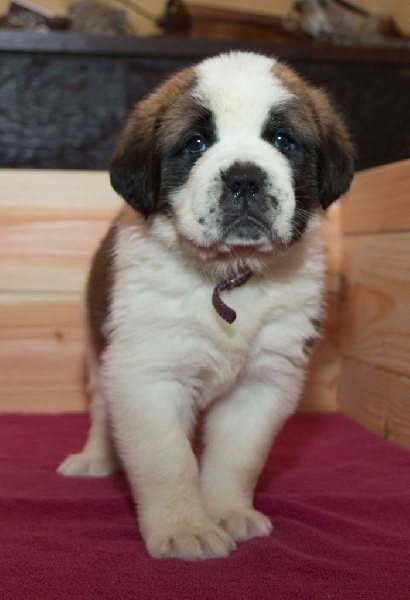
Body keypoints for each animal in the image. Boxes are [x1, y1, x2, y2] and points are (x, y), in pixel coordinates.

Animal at [58, 52, 354, 560]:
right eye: (195, 143)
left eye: (283, 140)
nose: (244, 178)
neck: (228, 278)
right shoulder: (145, 375)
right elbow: (167, 459)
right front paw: (184, 528)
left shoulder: (263, 381)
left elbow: (237, 457)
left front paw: (227, 512)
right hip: (96, 349)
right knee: (100, 408)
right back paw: (96, 457)